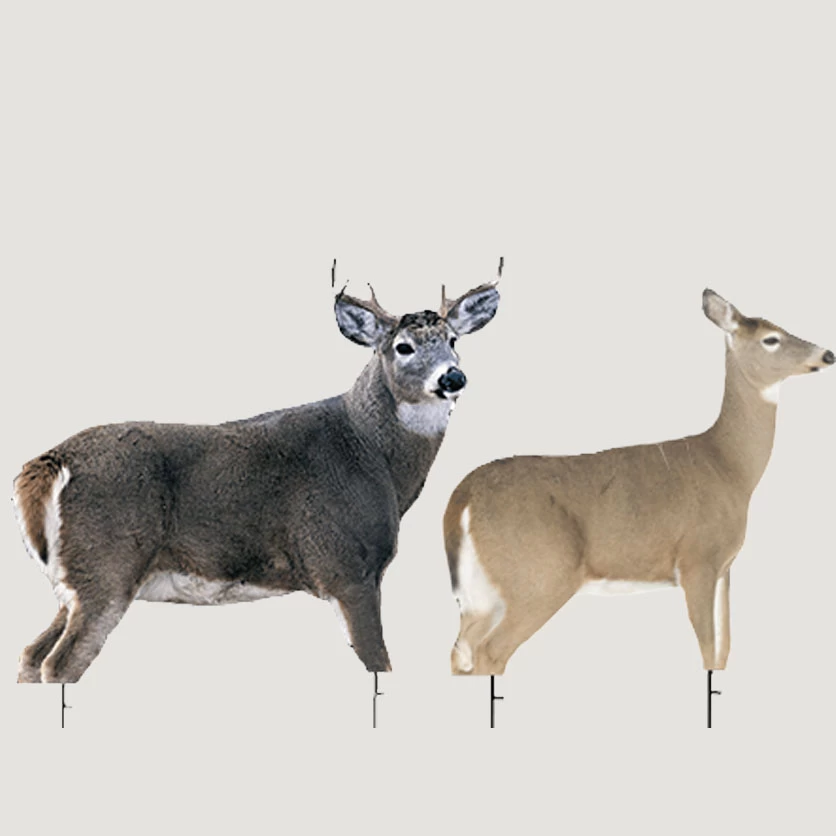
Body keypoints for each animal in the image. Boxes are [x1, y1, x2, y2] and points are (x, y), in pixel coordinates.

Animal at [14, 280, 500, 685]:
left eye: (453, 341)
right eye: (403, 347)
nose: (452, 377)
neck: (372, 456)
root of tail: (48, 463)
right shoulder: (345, 566)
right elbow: (379, 661)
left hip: (74, 580)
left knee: (31, 655)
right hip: (107, 565)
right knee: (59, 663)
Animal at [444, 289, 832, 723]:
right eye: (771, 339)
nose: (827, 354)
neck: (730, 467)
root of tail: (462, 498)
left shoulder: (724, 567)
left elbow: (725, 647)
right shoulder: (697, 559)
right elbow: (708, 648)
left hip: (481, 592)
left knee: (460, 652)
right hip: (540, 575)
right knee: (490, 652)